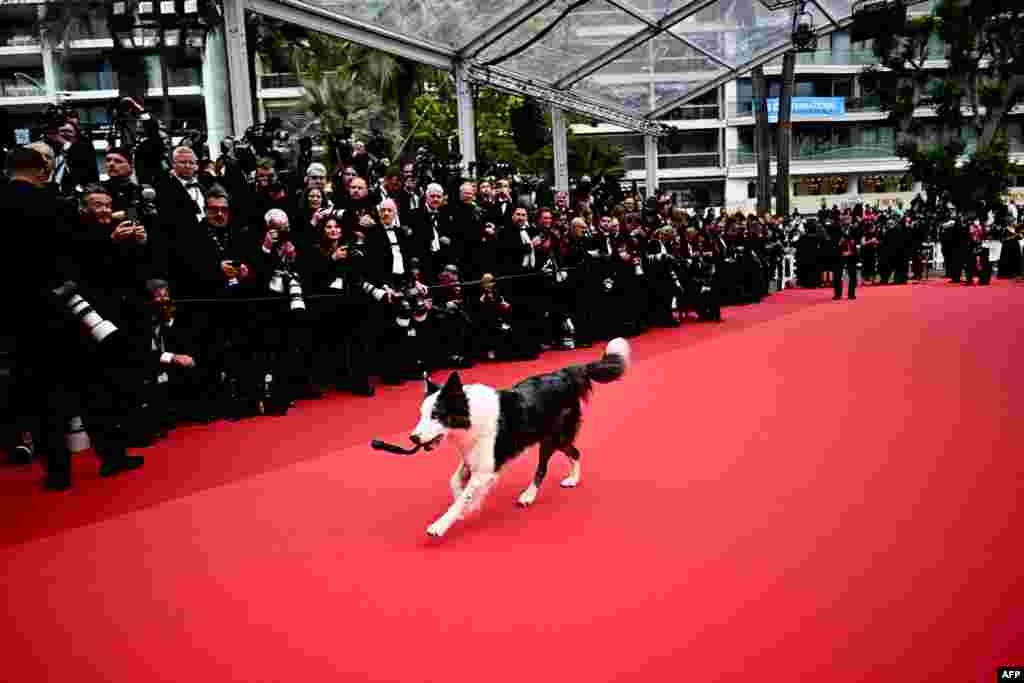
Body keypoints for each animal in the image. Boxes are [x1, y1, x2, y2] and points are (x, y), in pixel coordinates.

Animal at [411, 339, 626, 536]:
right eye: (422, 414)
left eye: (436, 415)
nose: (413, 438)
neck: (470, 418)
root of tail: (565, 374)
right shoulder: (472, 456)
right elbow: (455, 482)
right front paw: (467, 507)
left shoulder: (486, 469)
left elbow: (464, 497)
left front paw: (442, 523)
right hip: (557, 437)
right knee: (574, 452)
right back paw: (573, 479)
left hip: (553, 437)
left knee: (544, 468)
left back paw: (529, 495)